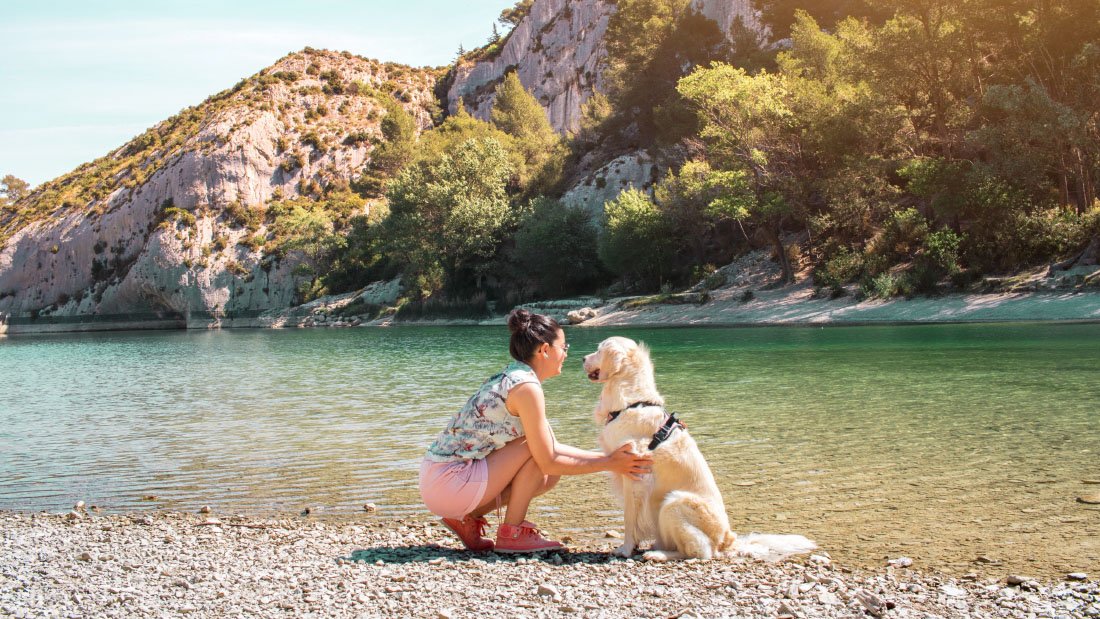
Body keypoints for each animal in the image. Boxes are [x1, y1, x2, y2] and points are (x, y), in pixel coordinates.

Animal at [585, 336, 818, 562]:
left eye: (598, 350)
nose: (582, 358)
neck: (633, 402)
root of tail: (727, 539)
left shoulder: (634, 474)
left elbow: (629, 518)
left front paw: (625, 549)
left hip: (673, 503)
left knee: (699, 552)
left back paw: (658, 554)